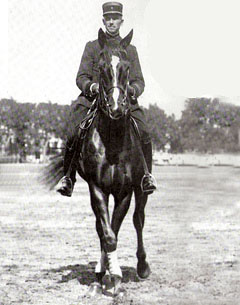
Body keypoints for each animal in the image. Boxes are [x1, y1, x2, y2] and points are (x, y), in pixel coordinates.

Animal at [44, 27, 151, 294]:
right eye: (101, 68)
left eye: (126, 66)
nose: (116, 107)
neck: (112, 138)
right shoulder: (98, 188)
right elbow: (107, 234)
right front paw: (106, 275)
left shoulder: (125, 191)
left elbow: (116, 230)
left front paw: (115, 277)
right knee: (101, 227)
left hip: (141, 188)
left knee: (139, 220)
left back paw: (142, 266)